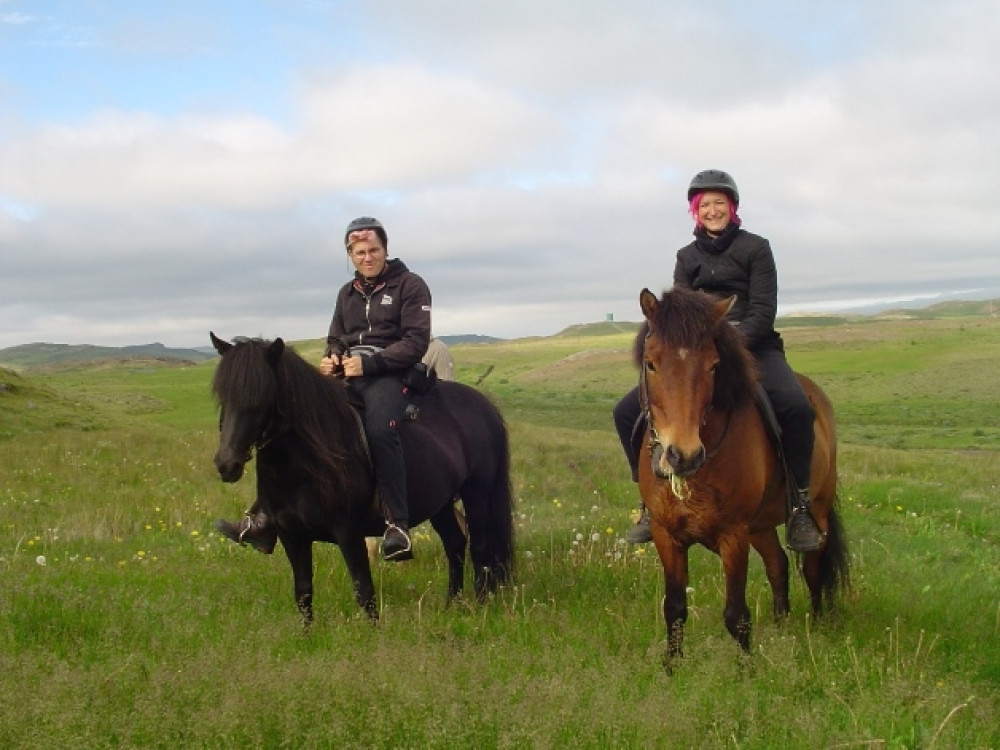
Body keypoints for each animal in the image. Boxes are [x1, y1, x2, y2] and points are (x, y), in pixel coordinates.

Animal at [206, 334, 512, 624]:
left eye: (262, 396)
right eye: (223, 395)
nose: (227, 464)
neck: (310, 460)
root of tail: (485, 405)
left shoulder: (348, 532)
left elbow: (364, 591)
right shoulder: (291, 535)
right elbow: (303, 594)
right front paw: (308, 637)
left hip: (476, 493)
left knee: (480, 548)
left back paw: (481, 608)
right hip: (441, 503)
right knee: (455, 544)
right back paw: (452, 606)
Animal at [636, 286, 848, 664]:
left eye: (713, 365)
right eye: (651, 363)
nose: (683, 455)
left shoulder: (733, 535)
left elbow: (737, 615)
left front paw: (747, 671)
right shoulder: (665, 534)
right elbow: (673, 607)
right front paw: (671, 668)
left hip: (817, 510)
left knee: (812, 569)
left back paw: (816, 626)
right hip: (759, 526)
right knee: (778, 564)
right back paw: (781, 626)